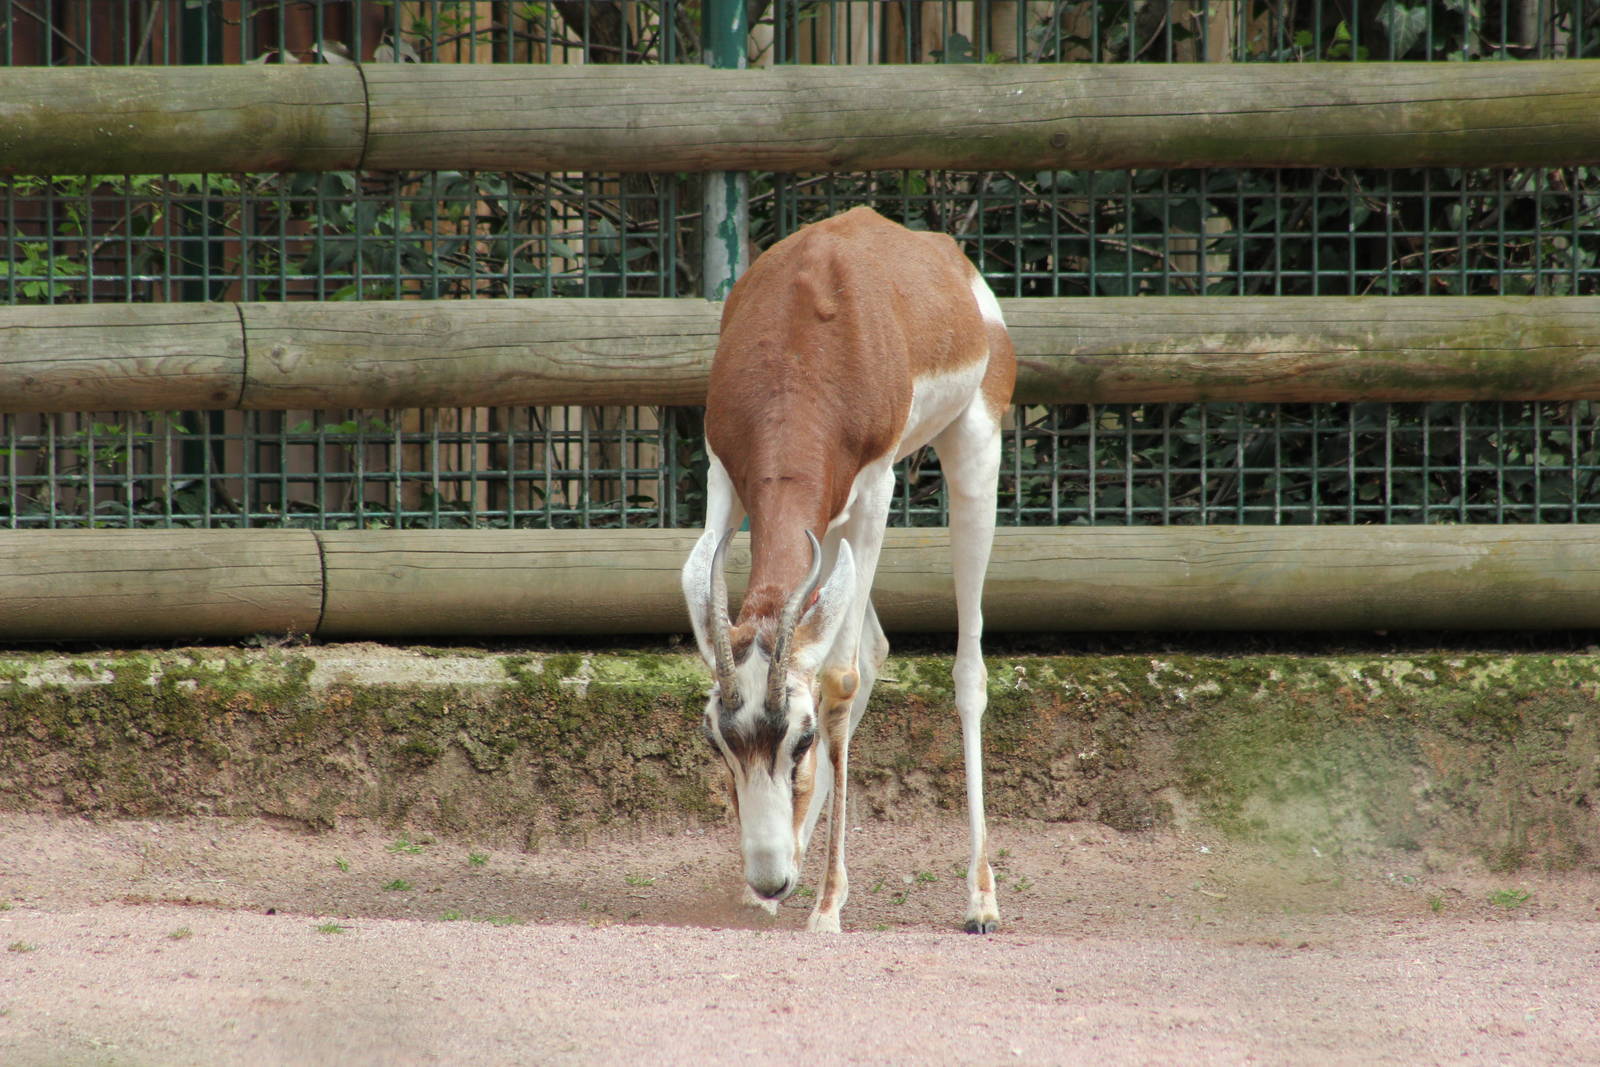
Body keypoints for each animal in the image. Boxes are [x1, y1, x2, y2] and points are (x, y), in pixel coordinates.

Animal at [681, 206, 1016, 933]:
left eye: (802, 737)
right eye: (718, 740)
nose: (769, 876)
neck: (800, 356)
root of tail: (952, 262)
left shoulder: (877, 484)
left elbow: (840, 677)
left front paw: (829, 904)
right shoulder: (723, 472)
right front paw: (782, 883)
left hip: (973, 450)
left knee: (966, 666)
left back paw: (981, 898)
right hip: (828, 530)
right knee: (873, 642)